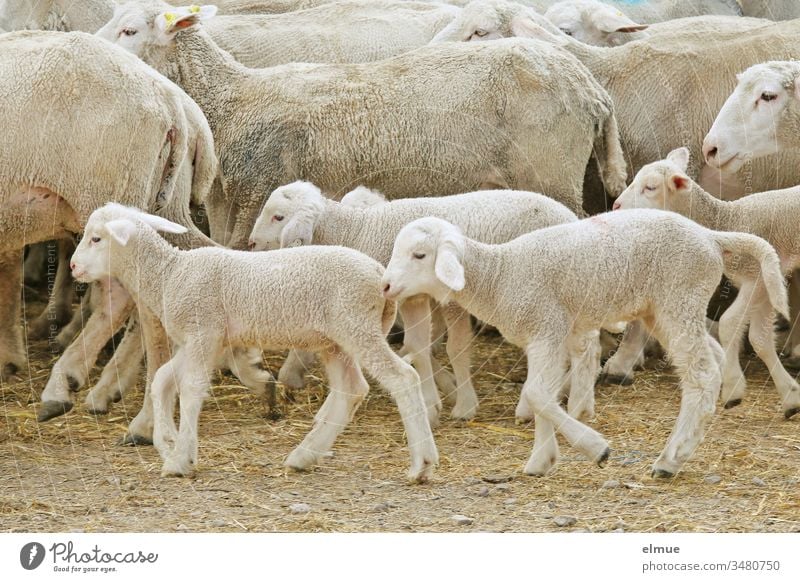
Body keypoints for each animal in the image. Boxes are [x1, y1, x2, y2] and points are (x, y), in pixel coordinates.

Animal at [69, 205, 440, 484]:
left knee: (402, 378)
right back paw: (304, 455)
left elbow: (190, 389)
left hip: (357, 326)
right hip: (336, 340)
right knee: (352, 389)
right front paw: (167, 442)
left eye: (96, 238)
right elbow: (161, 380)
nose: (72, 266)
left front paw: (182, 458)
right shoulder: (205, 340)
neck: (168, 274)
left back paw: (421, 463)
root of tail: (381, 276)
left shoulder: (203, 331)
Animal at [98, 3, 624, 252]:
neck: (232, 98)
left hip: (552, 173)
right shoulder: (226, 198)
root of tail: (591, 88)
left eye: (129, 30)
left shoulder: (257, 192)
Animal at [247, 180, 580, 422]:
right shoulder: (411, 297)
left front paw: (463, 406)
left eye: (278, 216)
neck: (359, 231)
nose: (250, 243)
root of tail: (571, 215)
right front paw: (433, 401)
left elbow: (455, 348)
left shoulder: (443, 297)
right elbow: (418, 347)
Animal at [380, 211, 788, 480]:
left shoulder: (546, 327)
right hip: (663, 309)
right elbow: (541, 395)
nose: (384, 286)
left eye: (419, 255)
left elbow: (538, 394)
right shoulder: (544, 335)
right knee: (711, 360)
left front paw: (595, 447)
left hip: (680, 297)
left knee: (700, 376)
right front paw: (541, 460)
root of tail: (710, 237)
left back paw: (672, 456)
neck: (501, 274)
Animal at [616, 147, 800, 420]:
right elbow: (760, 339)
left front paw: (733, 388)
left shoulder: (756, 275)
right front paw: (790, 397)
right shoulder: (767, 281)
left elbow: (729, 323)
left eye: (650, 187)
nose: (616, 205)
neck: (727, 220)